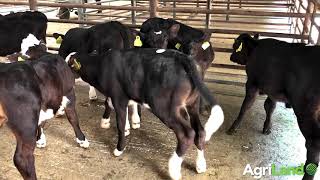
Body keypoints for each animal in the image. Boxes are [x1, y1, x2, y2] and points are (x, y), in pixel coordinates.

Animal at [66, 48, 224, 179]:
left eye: (68, 64)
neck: (101, 64)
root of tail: (183, 57)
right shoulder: (123, 96)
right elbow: (117, 107)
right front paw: (126, 127)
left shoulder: (119, 97)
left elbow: (120, 123)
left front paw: (119, 149)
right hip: (192, 105)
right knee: (200, 132)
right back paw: (200, 165)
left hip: (165, 108)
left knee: (187, 134)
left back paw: (173, 169)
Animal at [228, 33, 320, 179]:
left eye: (240, 48)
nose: (231, 56)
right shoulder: (273, 91)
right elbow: (269, 107)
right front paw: (267, 128)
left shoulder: (252, 82)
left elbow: (246, 105)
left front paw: (233, 128)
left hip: (307, 113)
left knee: (313, 145)